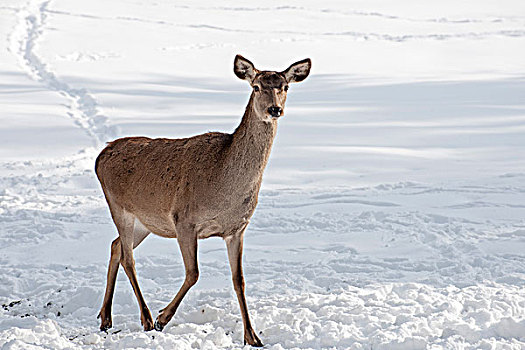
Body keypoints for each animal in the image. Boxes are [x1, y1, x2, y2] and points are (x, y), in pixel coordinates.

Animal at [94, 55, 312, 348]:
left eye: (285, 87)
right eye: (255, 86)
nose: (274, 109)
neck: (224, 188)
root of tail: (101, 155)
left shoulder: (237, 229)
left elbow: (239, 280)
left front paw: (252, 336)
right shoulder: (184, 220)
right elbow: (193, 272)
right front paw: (163, 318)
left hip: (146, 222)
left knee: (115, 246)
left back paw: (106, 318)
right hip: (120, 207)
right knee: (129, 259)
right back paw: (147, 318)